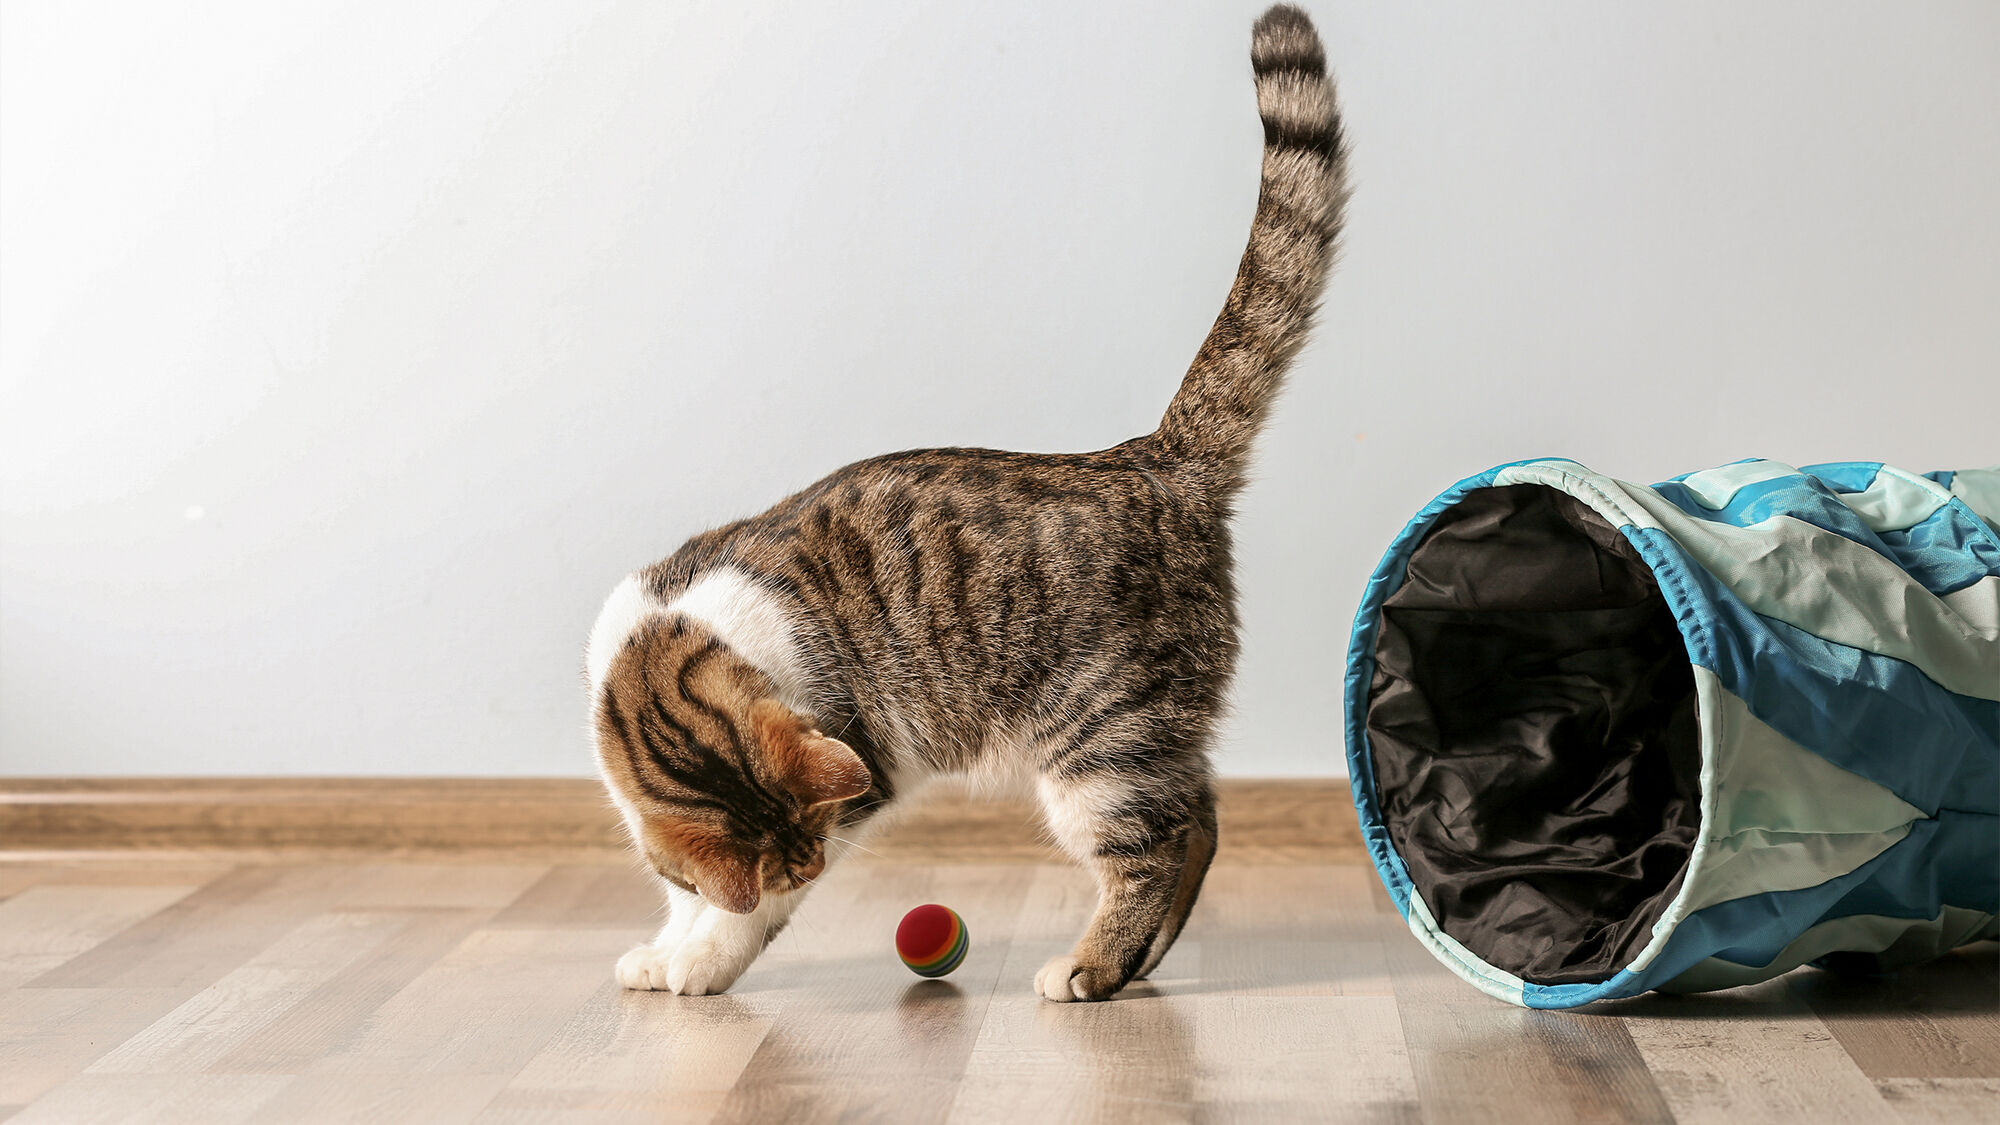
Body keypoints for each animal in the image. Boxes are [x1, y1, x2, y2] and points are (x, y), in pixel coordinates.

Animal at [584, 4, 1352, 992]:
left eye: (811, 858)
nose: (812, 863)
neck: (669, 643)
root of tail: (1151, 458)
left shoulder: (855, 771)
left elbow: (738, 908)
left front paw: (705, 957)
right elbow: (681, 887)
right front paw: (669, 945)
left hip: (1102, 744)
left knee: (1154, 847)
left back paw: (1092, 968)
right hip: (1150, 735)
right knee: (1201, 818)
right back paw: (1137, 963)